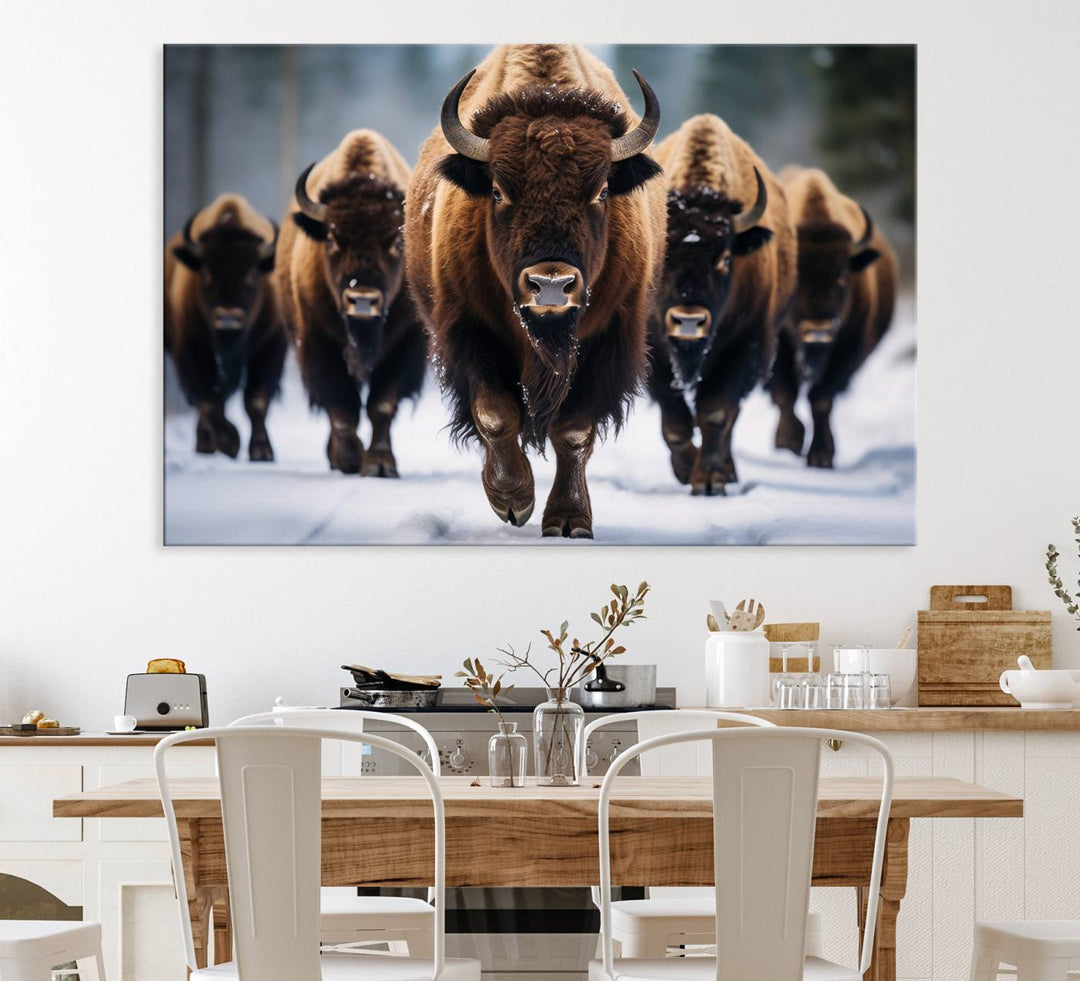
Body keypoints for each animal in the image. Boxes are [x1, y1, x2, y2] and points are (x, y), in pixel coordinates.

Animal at [162, 197, 285, 464]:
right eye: (207, 272)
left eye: (252, 273)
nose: (228, 318)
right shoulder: (190, 350)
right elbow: (208, 400)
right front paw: (230, 442)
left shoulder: (269, 347)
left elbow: (256, 400)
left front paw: (262, 451)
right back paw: (206, 445)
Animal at [274, 131, 425, 479]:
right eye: (331, 239)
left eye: (397, 242)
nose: (363, 299)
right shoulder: (319, 343)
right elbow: (342, 405)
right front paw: (350, 460)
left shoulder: (404, 345)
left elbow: (381, 405)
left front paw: (380, 464)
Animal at [406, 44, 665, 535]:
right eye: (497, 191)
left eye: (602, 191)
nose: (550, 285)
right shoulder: (470, 330)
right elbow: (494, 413)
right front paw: (513, 500)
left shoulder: (608, 338)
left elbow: (574, 431)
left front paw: (569, 519)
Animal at [643, 116, 799, 499]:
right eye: (663, 254)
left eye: (726, 258)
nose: (688, 320)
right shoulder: (655, 354)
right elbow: (675, 421)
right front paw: (687, 470)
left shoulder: (743, 346)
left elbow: (715, 414)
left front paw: (710, 479)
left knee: (729, 417)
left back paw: (727, 471)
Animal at [768, 166, 902, 468]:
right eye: (796, 279)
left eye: (842, 277)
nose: (819, 330)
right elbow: (785, 393)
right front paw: (790, 442)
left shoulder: (845, 349)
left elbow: (821, 399)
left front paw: (821, 456)